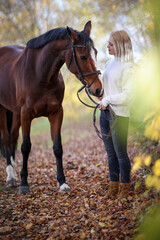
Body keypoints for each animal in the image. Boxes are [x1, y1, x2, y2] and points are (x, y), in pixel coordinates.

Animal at [0, 20, 102, 193]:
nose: (98, 89)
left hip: (15, 112)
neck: (40, 75)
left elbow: (57, 147)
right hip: (2, 109)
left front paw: (62, 182)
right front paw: (24, 184)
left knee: (12, 137)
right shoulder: (26, 114)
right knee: (6, 139)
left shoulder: (56, 113)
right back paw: (10, 177)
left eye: (95, 52)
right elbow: (26, 147)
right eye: (82, 56)